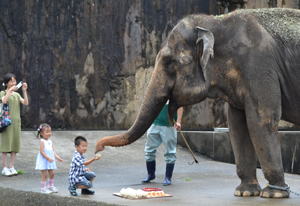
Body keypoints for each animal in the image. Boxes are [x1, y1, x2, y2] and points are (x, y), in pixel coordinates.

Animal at [95, 8, 300, 198]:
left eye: (169, 62)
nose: (98, 148)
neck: (216, 22)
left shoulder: (258, 64)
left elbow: (261, 120)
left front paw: (274, 194)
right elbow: (237, 125)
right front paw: (244, 193)